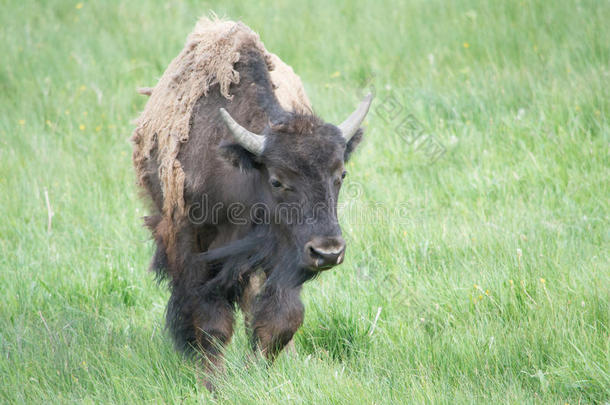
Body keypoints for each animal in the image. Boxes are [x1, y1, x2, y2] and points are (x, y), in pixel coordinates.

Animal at [132, 17, 370, 386]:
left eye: (340, 174)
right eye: (277, 180)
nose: (328, 252)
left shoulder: (282, 257)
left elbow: (281, 318)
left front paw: (260, 373)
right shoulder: (192, 248)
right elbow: (210, 321)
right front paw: (212, 383)